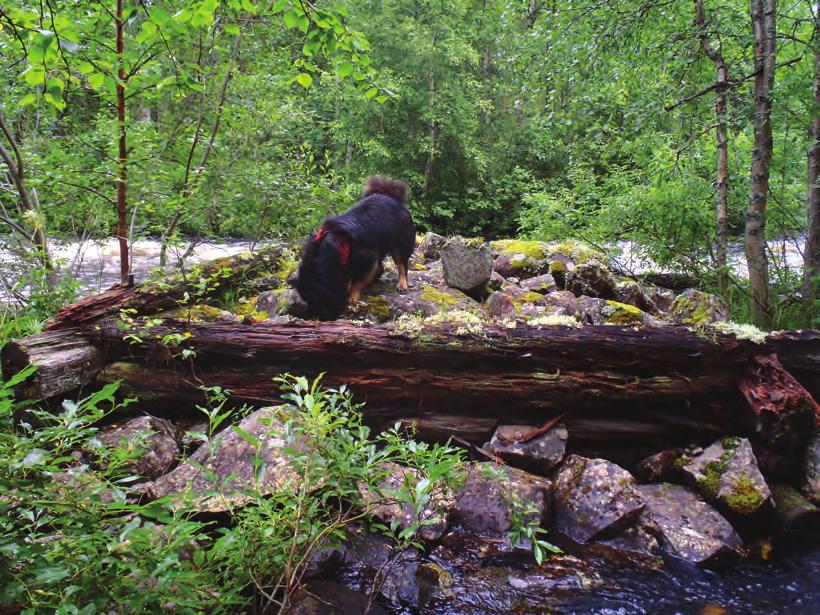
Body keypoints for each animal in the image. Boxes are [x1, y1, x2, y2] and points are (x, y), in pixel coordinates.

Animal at [294, 177, 416, 320]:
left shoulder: (367, 258)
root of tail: (392, 197)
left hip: (400, 244)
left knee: (402, 265)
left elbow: (358, 281)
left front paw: (351, 296)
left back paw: (402, 283)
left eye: (317, 300)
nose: (312, 317)